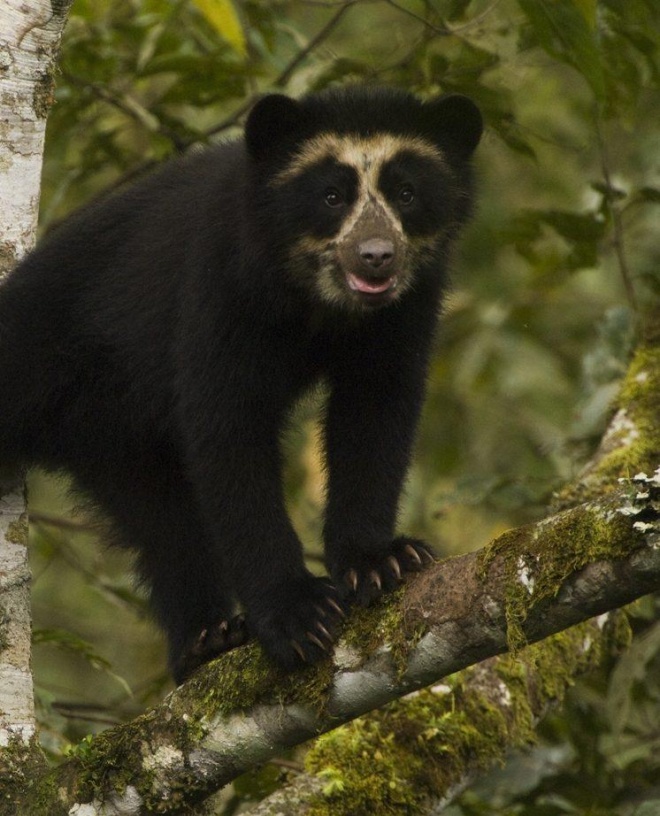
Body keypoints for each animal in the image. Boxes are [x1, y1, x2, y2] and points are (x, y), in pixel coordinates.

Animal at [1, 84, 484, 684]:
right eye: (331, 196)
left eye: (407, 193)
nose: (376, 257)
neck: (315, 303)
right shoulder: (221, 287)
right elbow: (230, 434)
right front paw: (298, 615)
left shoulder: (405, 310)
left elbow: (375, 412)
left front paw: (382, 561)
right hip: (40, 357)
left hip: (115, 436)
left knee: (164, 523)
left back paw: (206, 640)